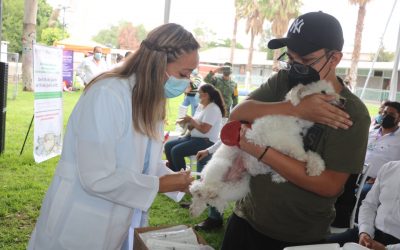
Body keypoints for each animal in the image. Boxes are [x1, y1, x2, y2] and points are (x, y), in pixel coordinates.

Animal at [189, 80, 340, 217]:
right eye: (323, 92)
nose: (342, 100)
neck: (295, 121)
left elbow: (310, 155)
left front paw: (315, 167)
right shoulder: (263, 136)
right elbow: (296, 149)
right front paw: (303, 158)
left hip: (238, 187)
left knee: (213, 194)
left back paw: (200, 204)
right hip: (220, 165)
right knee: (201, 186)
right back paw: (200, 193)